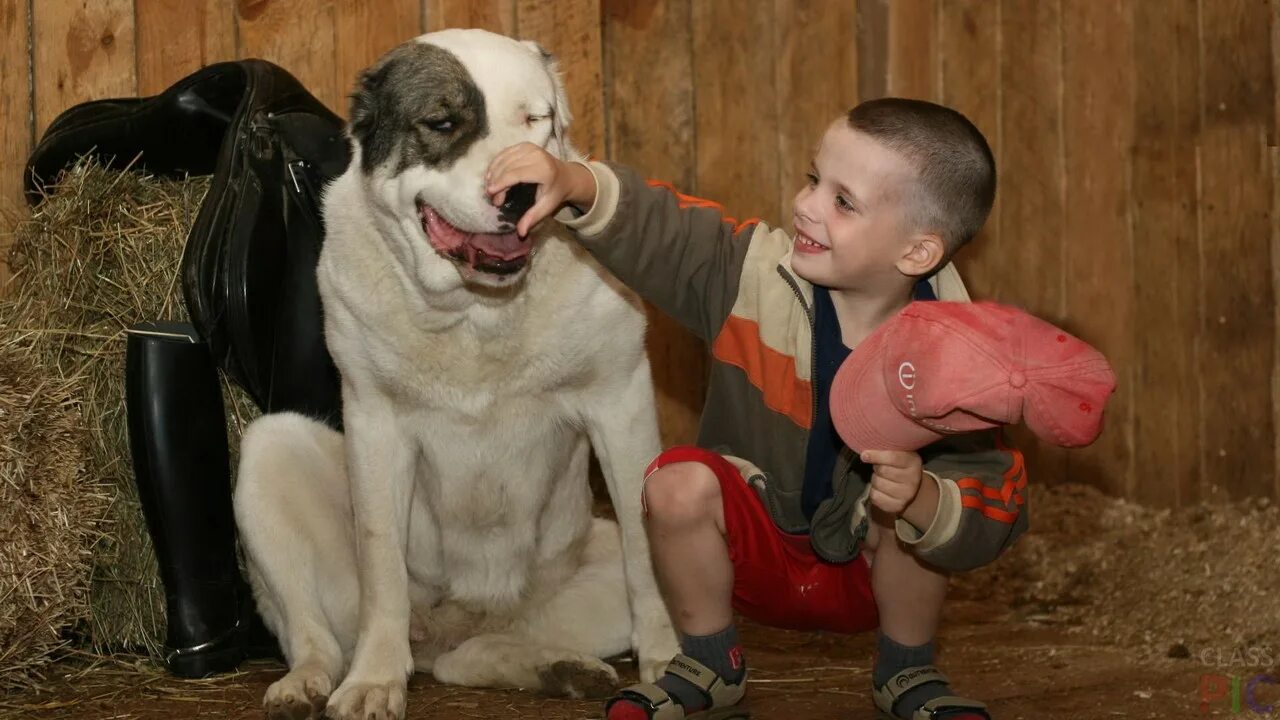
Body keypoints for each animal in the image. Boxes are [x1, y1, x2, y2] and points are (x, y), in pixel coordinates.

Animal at [235, 29, 686, 717]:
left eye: (536, 121)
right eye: (443, 123)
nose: (522, 191)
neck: (477, 315)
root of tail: (460, 621)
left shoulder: (621, 399)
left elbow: (645, 549)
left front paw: (666, 660)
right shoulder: (376, 421)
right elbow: (381, 560)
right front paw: (374, 680)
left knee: (473, 654)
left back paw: (558, 667)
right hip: (269, 448)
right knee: (318, 635)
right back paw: (308, 682)